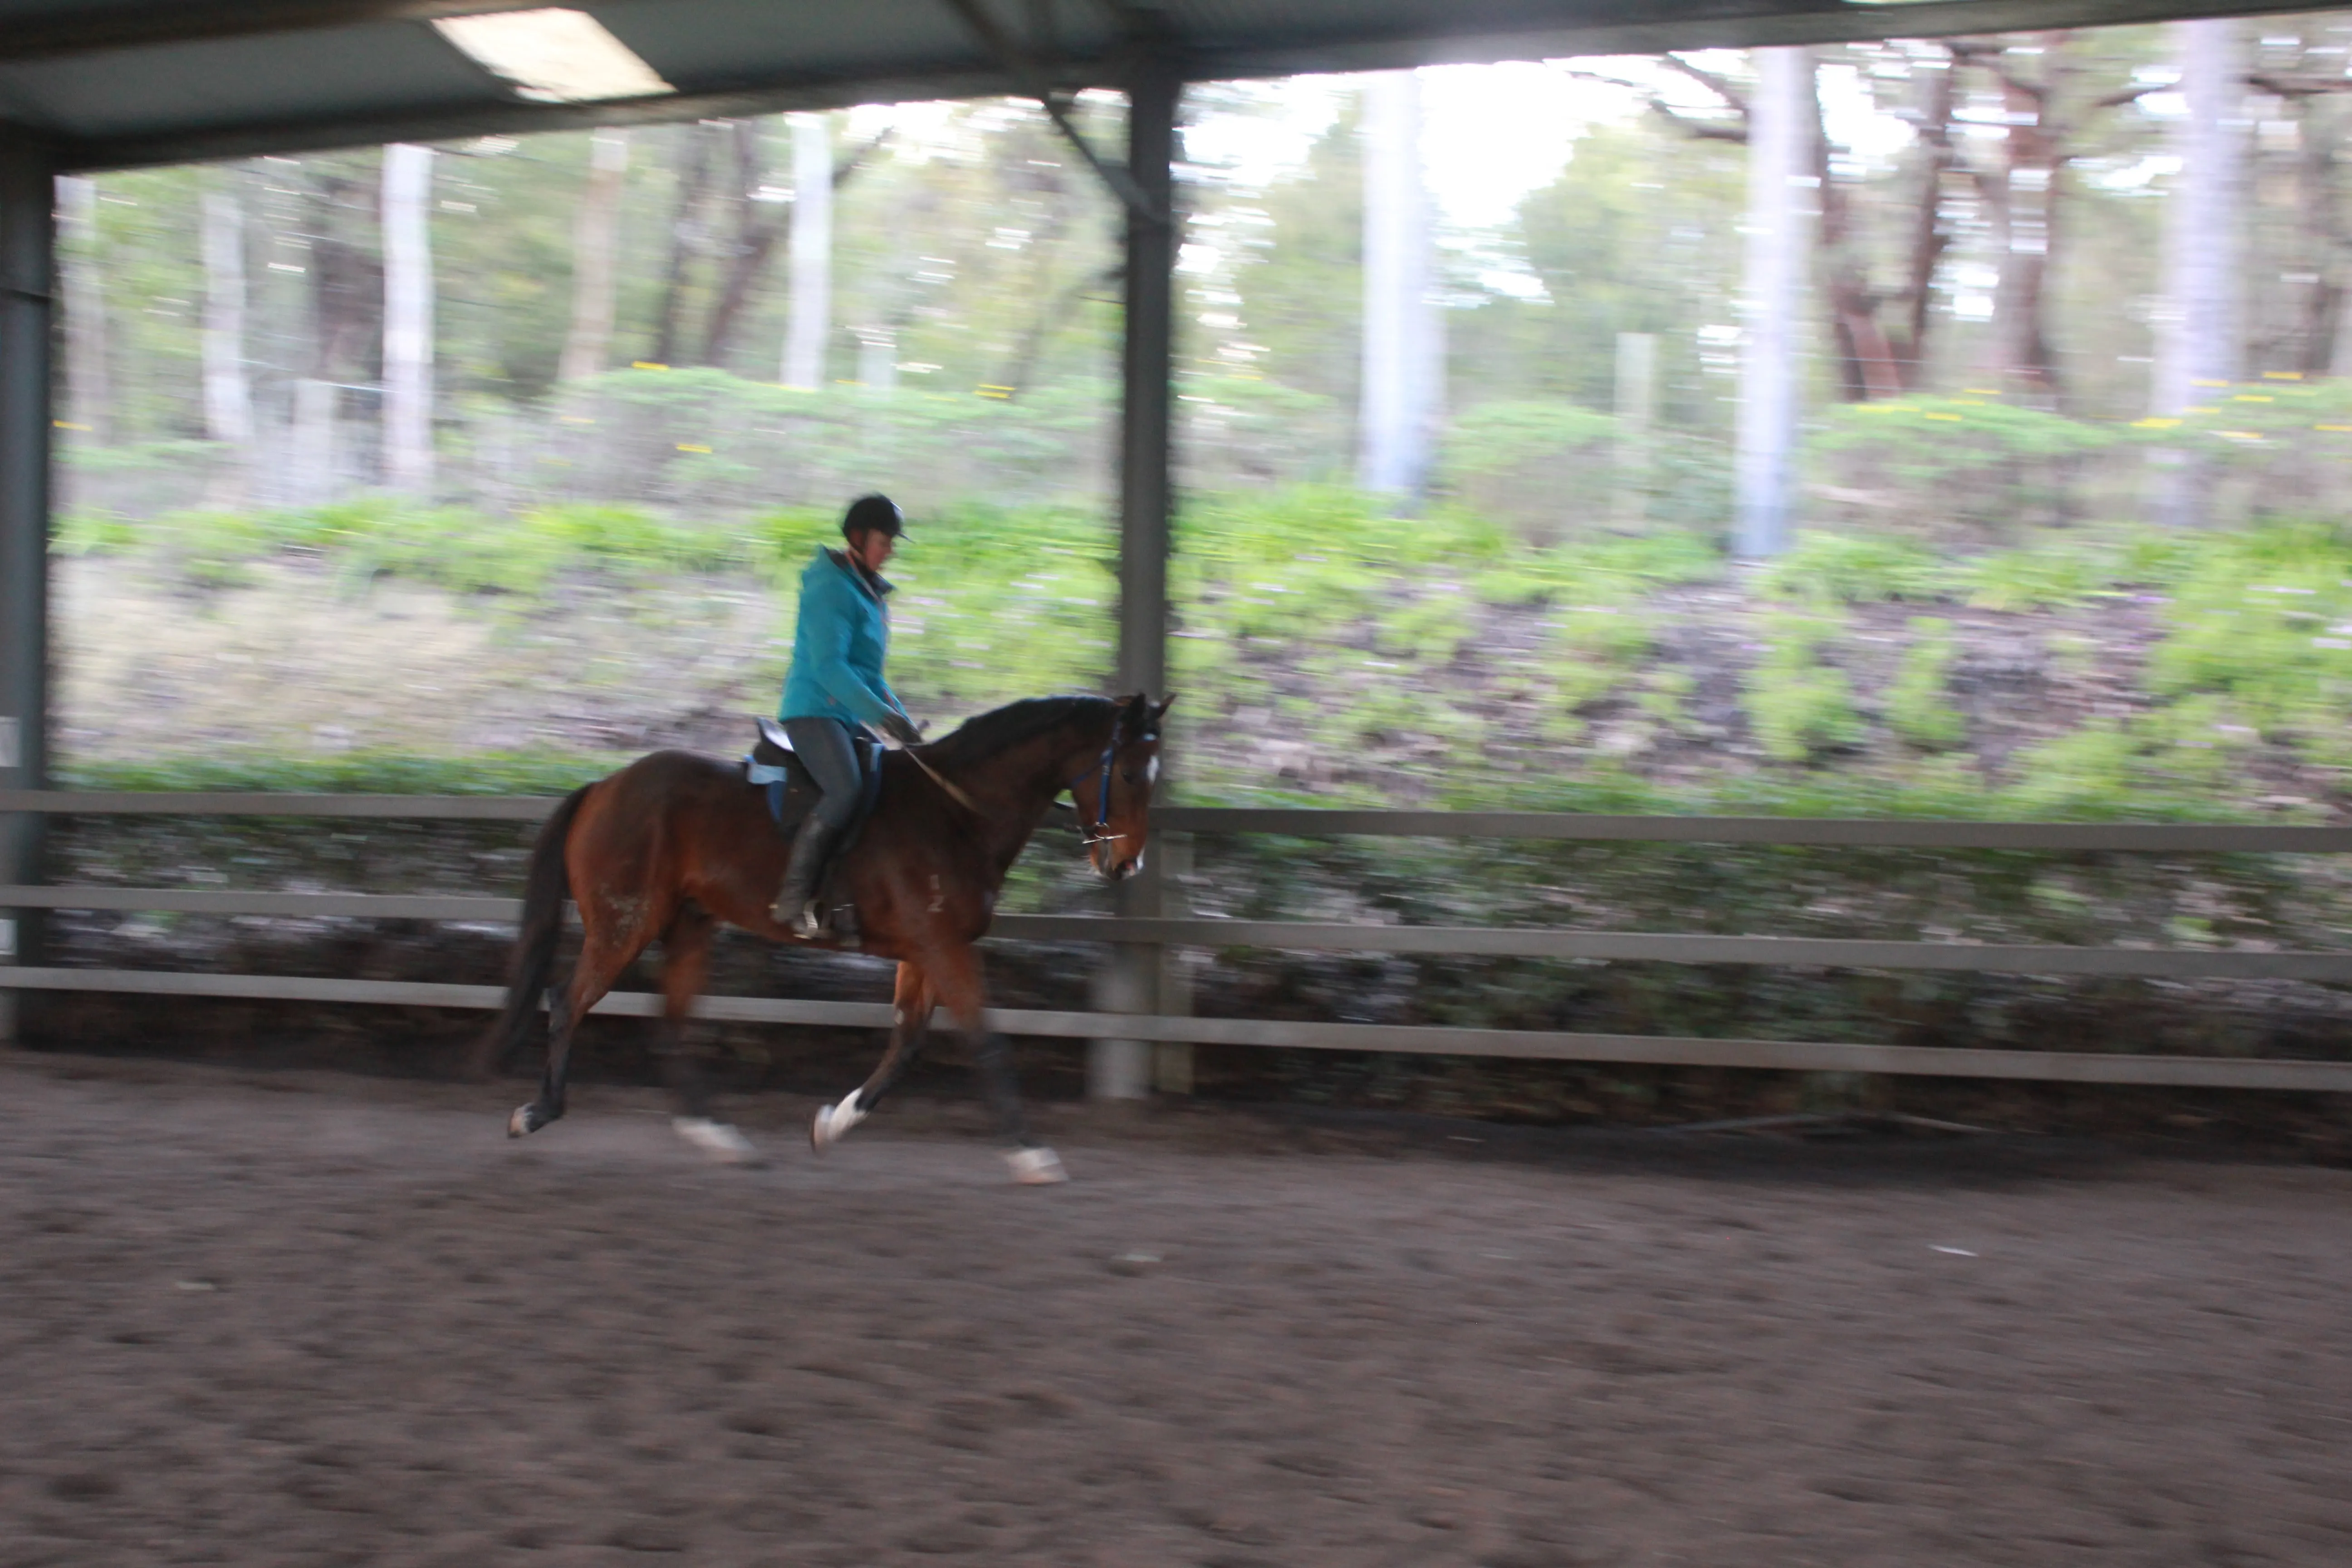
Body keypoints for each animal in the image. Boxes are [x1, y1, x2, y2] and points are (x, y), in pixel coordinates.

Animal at [477, 691, 1176, 1185]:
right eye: (1131, 775)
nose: (1126, 865)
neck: (956, 812)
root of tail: (605, 786)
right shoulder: (944, 948)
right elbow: (986, 1043)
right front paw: (1032, 1154)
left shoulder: (926, 951)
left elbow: (907, 1044)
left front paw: (831, 1125)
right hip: (626, 921)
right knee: (569, 1000)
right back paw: (536, 1113)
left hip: (688, 926)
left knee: (671, 1023)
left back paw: (718, 1139)